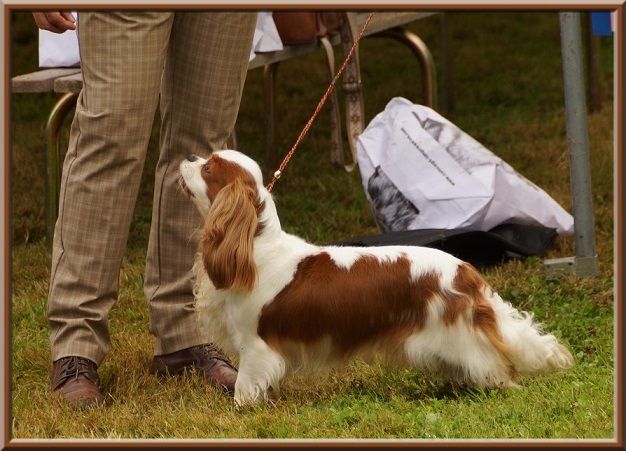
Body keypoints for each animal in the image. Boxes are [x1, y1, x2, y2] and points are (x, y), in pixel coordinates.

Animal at [179, 150, 573, 407]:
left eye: (208, 167)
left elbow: (245, 385)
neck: (256, 247)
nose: (186, 157)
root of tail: (467, 273)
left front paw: (240, 410)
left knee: (497, 370)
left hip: (462, 337)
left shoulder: (256, 345)